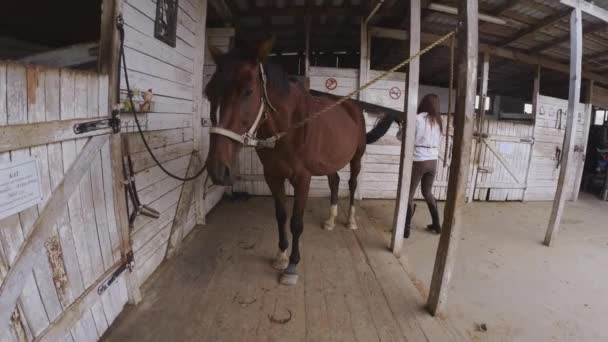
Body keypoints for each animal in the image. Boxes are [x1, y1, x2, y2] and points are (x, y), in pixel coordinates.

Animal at [204, 36, 394, 284]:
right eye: (208, 92)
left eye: (248, 91)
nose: (217, 170)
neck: (291, 127)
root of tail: (352, 106)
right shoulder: (272, 176)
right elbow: (281, 216)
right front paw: (281, 256)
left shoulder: (303, 179)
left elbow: (296, 222)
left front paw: (292, 265)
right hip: (329, 162)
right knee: (334, 182)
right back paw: (331, 220)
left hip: (357, 158)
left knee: (352, 184)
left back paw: (350, 221)